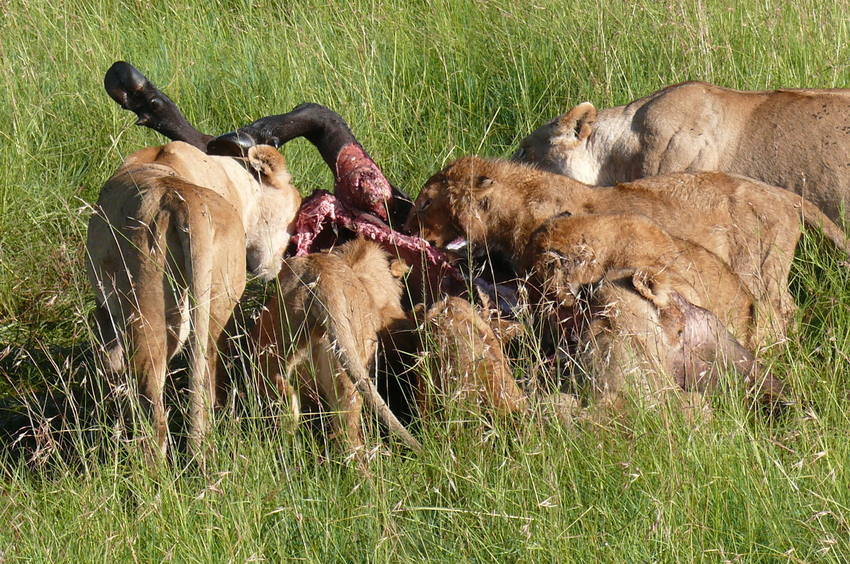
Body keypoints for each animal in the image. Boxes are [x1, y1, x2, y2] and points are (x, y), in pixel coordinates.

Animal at [88, 141, 300, 458]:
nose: (280, 265)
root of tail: (180, 198)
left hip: (150, 312)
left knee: (154, 400)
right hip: (214, 300)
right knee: (203, 370)